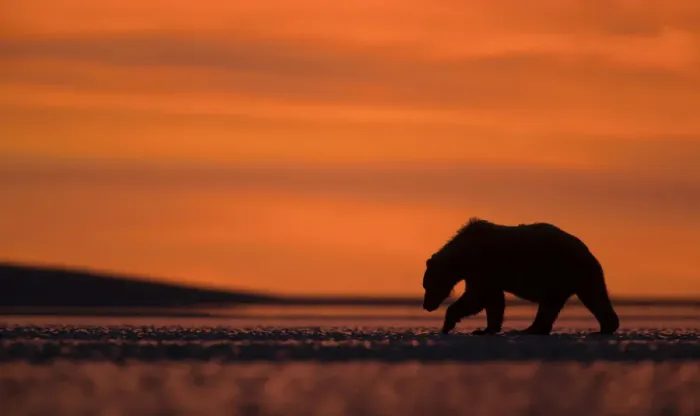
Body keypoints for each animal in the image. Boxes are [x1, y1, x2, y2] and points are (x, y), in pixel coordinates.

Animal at [422, 217, 620, 335]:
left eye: (427, 285)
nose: (426, 306)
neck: (463, 253)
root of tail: (587, 250)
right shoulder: (484, 273)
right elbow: (493, 300)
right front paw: (487, 328)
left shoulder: (483, 266)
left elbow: (477, 297)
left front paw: (448, 324)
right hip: (572, 275)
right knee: (587, 297)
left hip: (560, 269)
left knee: (578, 298)